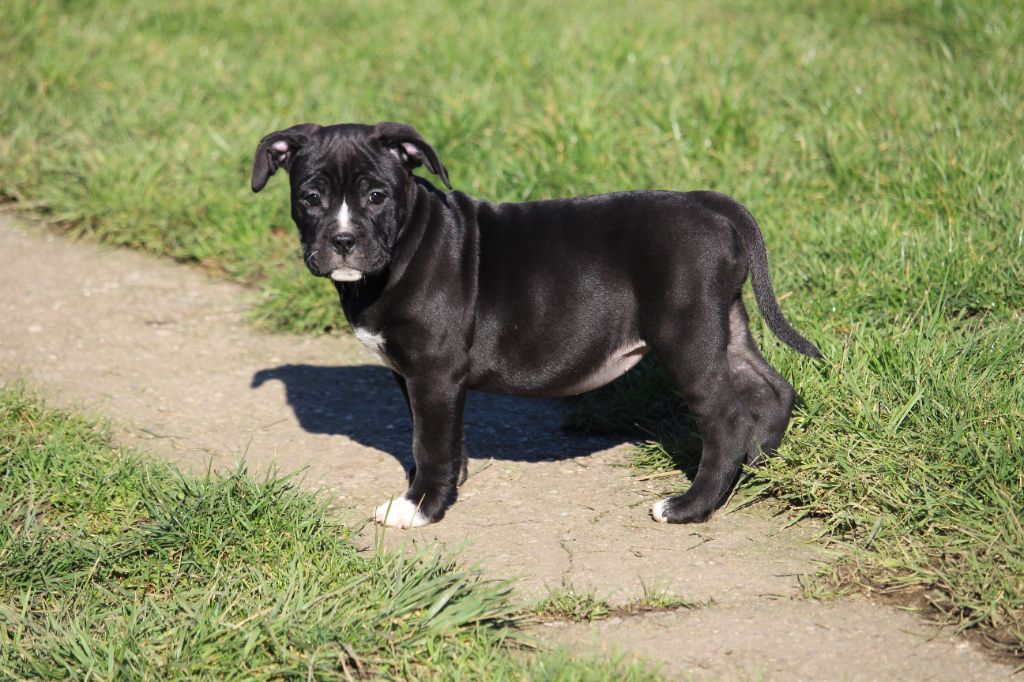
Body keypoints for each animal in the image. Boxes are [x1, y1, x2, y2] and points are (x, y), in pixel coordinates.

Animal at [251, 122, 819, 524]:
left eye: (376, 196)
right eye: (309, 198)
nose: (342, 241)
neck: (405, 245)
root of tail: (708, 204)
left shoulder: (432, 373)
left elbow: (427, 441)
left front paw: (421, 507)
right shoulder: (415, 377)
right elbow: (440, 434)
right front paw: (450, 481)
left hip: (686, 334)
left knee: (725, 417)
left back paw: (690, 506)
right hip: (722, 322)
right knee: (770, 388)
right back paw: (756, 469)